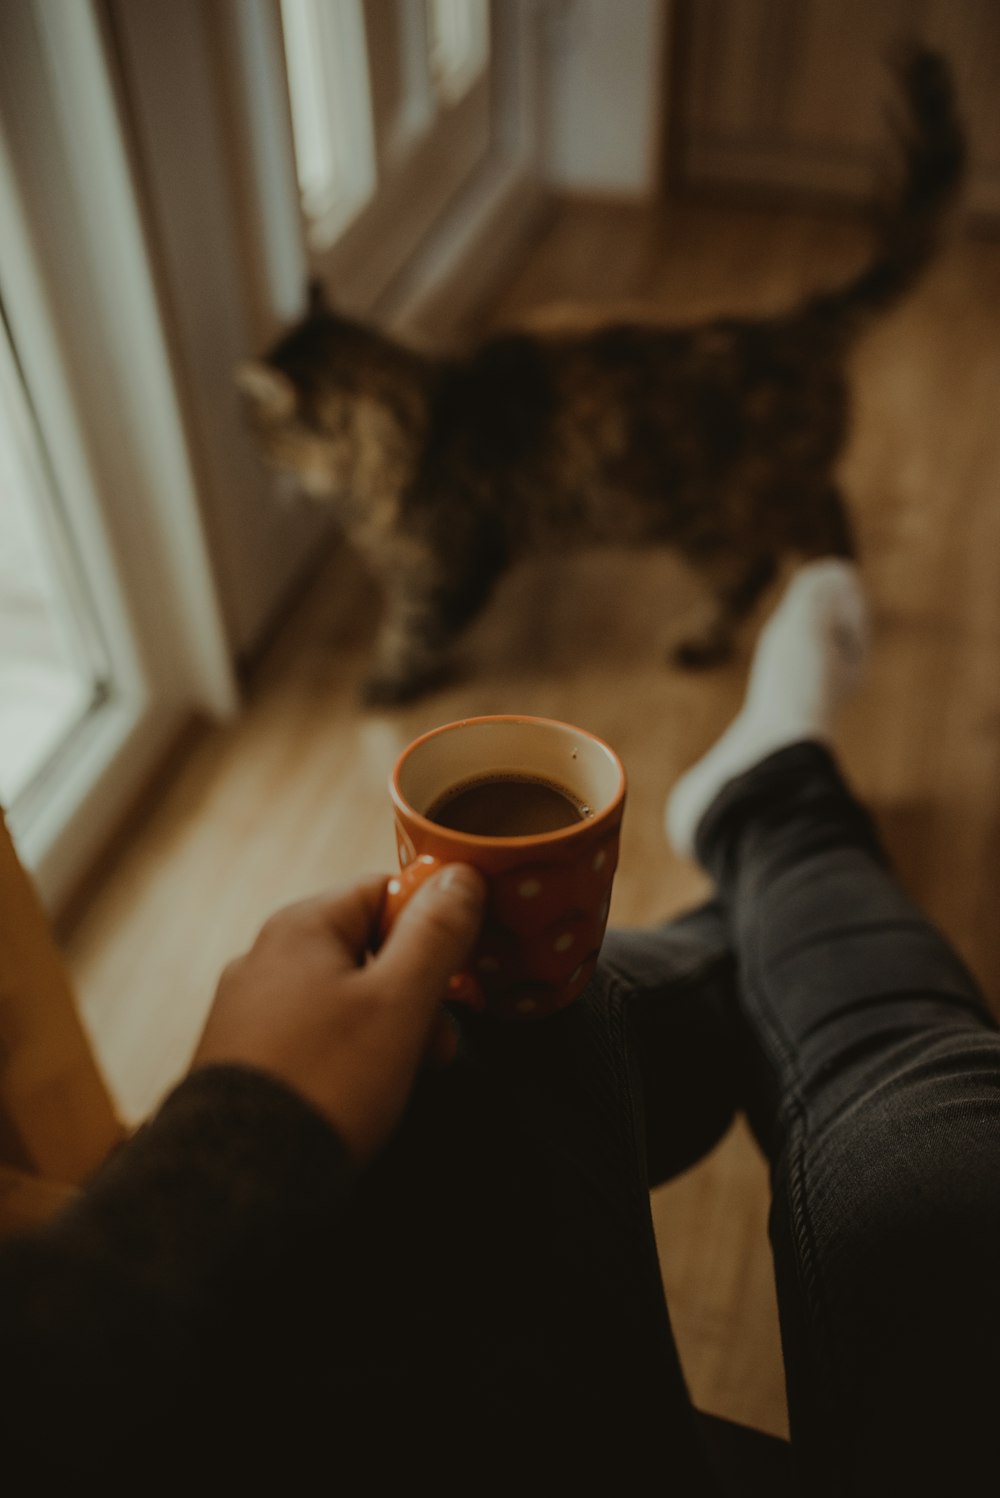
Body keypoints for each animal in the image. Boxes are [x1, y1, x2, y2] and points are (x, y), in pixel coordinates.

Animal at [238, 43, 964, 704]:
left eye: (260, 429)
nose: (254, 452)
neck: (409, 426)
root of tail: (793, 322)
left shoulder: (448, 567)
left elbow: (410, 631)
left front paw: (385, 686)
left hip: (715, 513)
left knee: (758, 565)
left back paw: (716, 635)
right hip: (759, 497)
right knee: (829, 522)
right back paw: (829, 594)